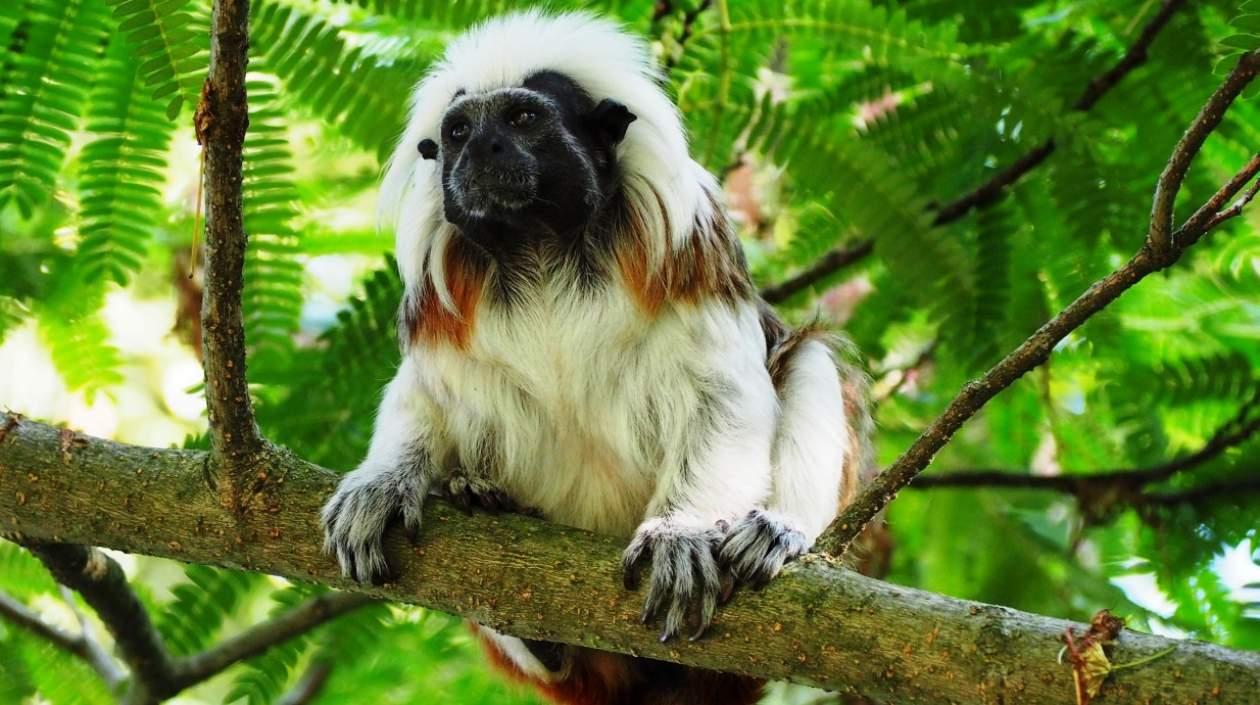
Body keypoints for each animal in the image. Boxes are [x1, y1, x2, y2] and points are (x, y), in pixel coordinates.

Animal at [320, 10, 872, 705]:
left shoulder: (692, 253)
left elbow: (725, 397)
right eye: (459, 131)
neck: (540, 247)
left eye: (522, 119)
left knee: (809, 360)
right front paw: (385, 483)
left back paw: (778, 530)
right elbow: (425, 395)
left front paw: (681, 531)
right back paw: (506, 564)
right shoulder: (438, 301)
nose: (481, 151)